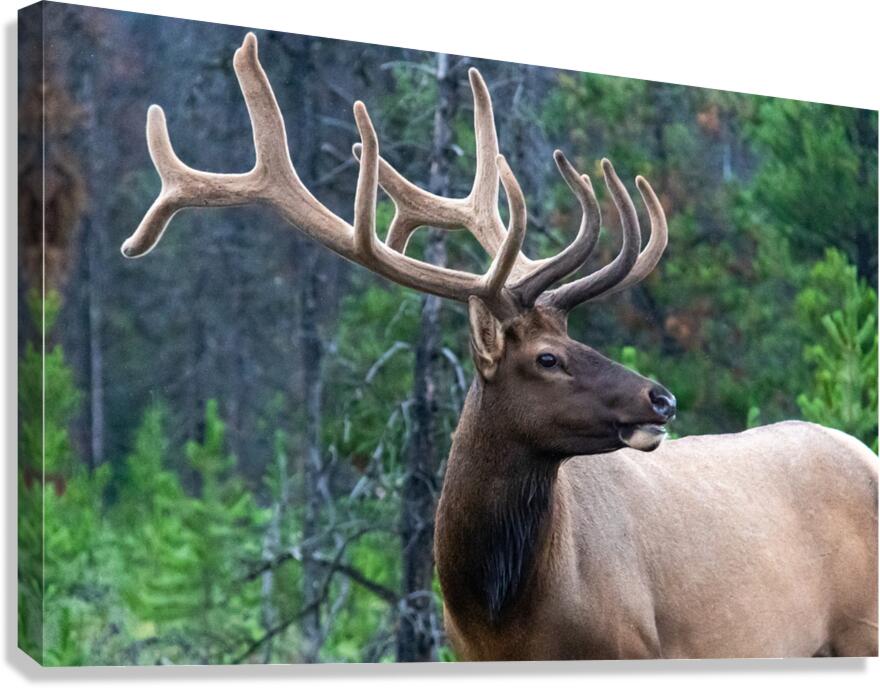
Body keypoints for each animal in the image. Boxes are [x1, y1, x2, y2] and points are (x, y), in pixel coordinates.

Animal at [122, 33, 878, 660]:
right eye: (548, 357)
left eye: (572, 336)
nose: (660, 398)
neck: (499, 613)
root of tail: (865, 453)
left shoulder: (636, 648)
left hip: (856, 629)